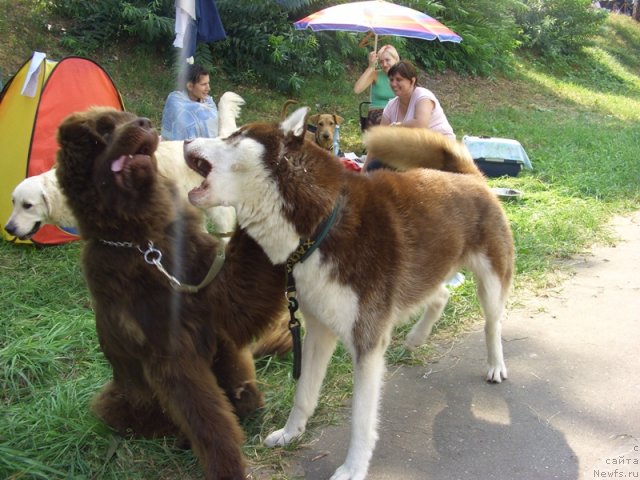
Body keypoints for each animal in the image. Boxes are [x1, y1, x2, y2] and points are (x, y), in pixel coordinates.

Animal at [55, 107, 290, 478]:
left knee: (245, 395)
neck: (144, 241)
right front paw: (227, 466)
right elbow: (206, 419)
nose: (144, 123)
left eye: (127, 117)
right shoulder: (171, 356)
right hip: (120, 401)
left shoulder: (223, 296)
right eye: (103, 130)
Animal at [185, 109, 516, 480]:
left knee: (492, 324)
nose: (184, 139)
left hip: (491, 283)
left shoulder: (366, 343)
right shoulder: (317, 331)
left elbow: (361, 419)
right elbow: (303, 393)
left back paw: (495, 364)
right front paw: (291, 433)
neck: (320, 224)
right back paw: (416, 338)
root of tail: (470, 176)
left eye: (236, 136)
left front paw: (353, 467)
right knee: (440, 295)